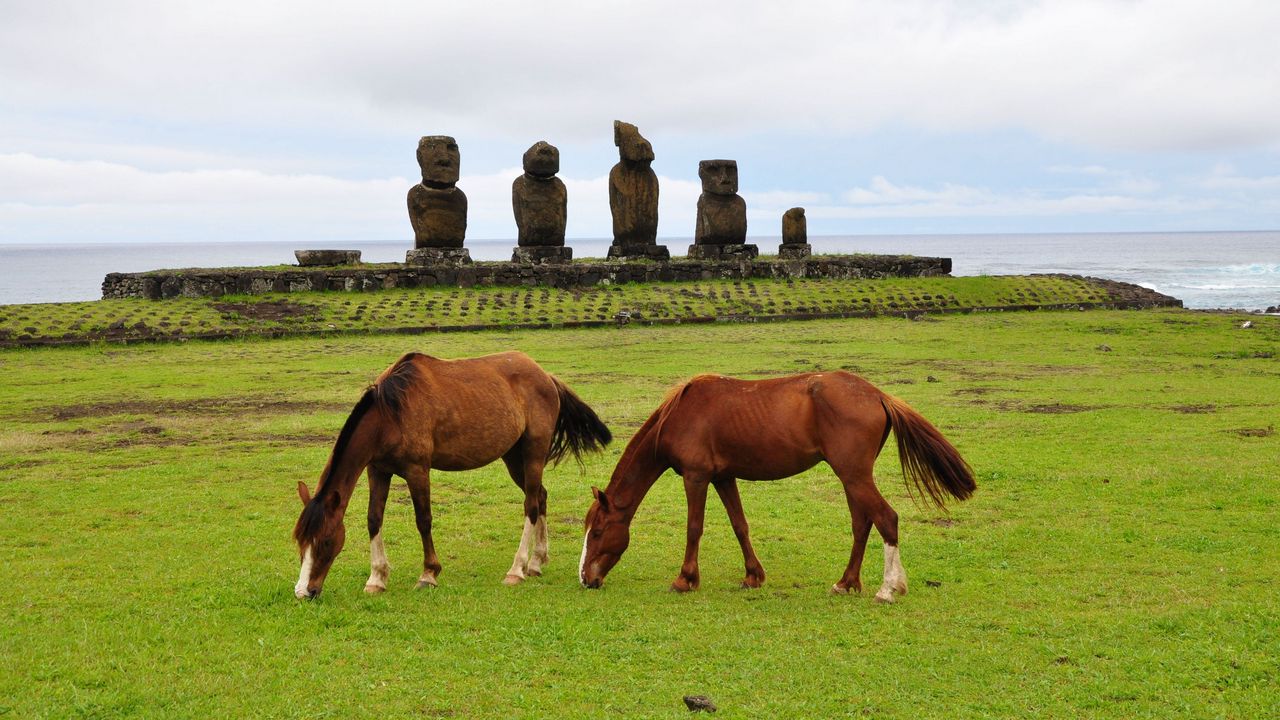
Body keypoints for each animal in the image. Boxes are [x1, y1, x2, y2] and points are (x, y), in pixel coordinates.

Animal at [293, 351, 609, 597]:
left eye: (325, 541)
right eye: (301, 541)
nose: (304, 592)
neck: (391, 413)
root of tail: (545, 376)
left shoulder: (417, 470)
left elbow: (423, 520)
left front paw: (429, 574)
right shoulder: (378, 471)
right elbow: (374, 519)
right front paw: (377, 578)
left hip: (533, 452)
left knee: (531, 505)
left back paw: (517, 569)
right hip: (513, 457)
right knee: (540, 496)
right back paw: (536, 562)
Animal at [578, 368, 967, 599]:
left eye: (597, 532)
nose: (585, 578)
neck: (681, 414)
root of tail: (877, 395)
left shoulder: (696, 476)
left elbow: (694, 528)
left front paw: (685, 579)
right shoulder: (723, 477)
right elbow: (740, 525)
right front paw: (753, 576)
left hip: (854, 476)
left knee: (886, 519)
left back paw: (889, 588)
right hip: (853, 478)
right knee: (862, 524)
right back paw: (846, 582)